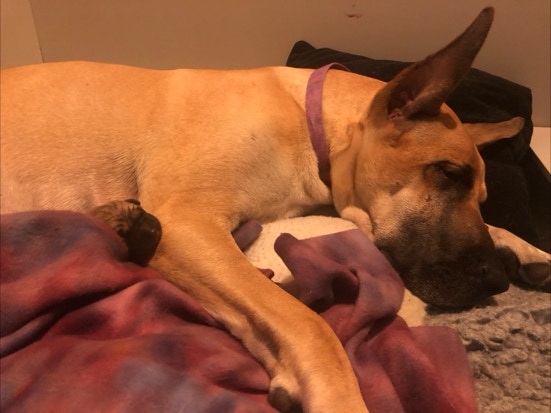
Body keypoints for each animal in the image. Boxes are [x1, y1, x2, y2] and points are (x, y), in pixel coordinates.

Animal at [1, 7, 549, 412]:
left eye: (479, 195)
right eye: (446, 172)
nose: (496, 282)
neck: (310, 121)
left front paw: (522, 247)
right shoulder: (186, 223)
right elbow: (310, 325)